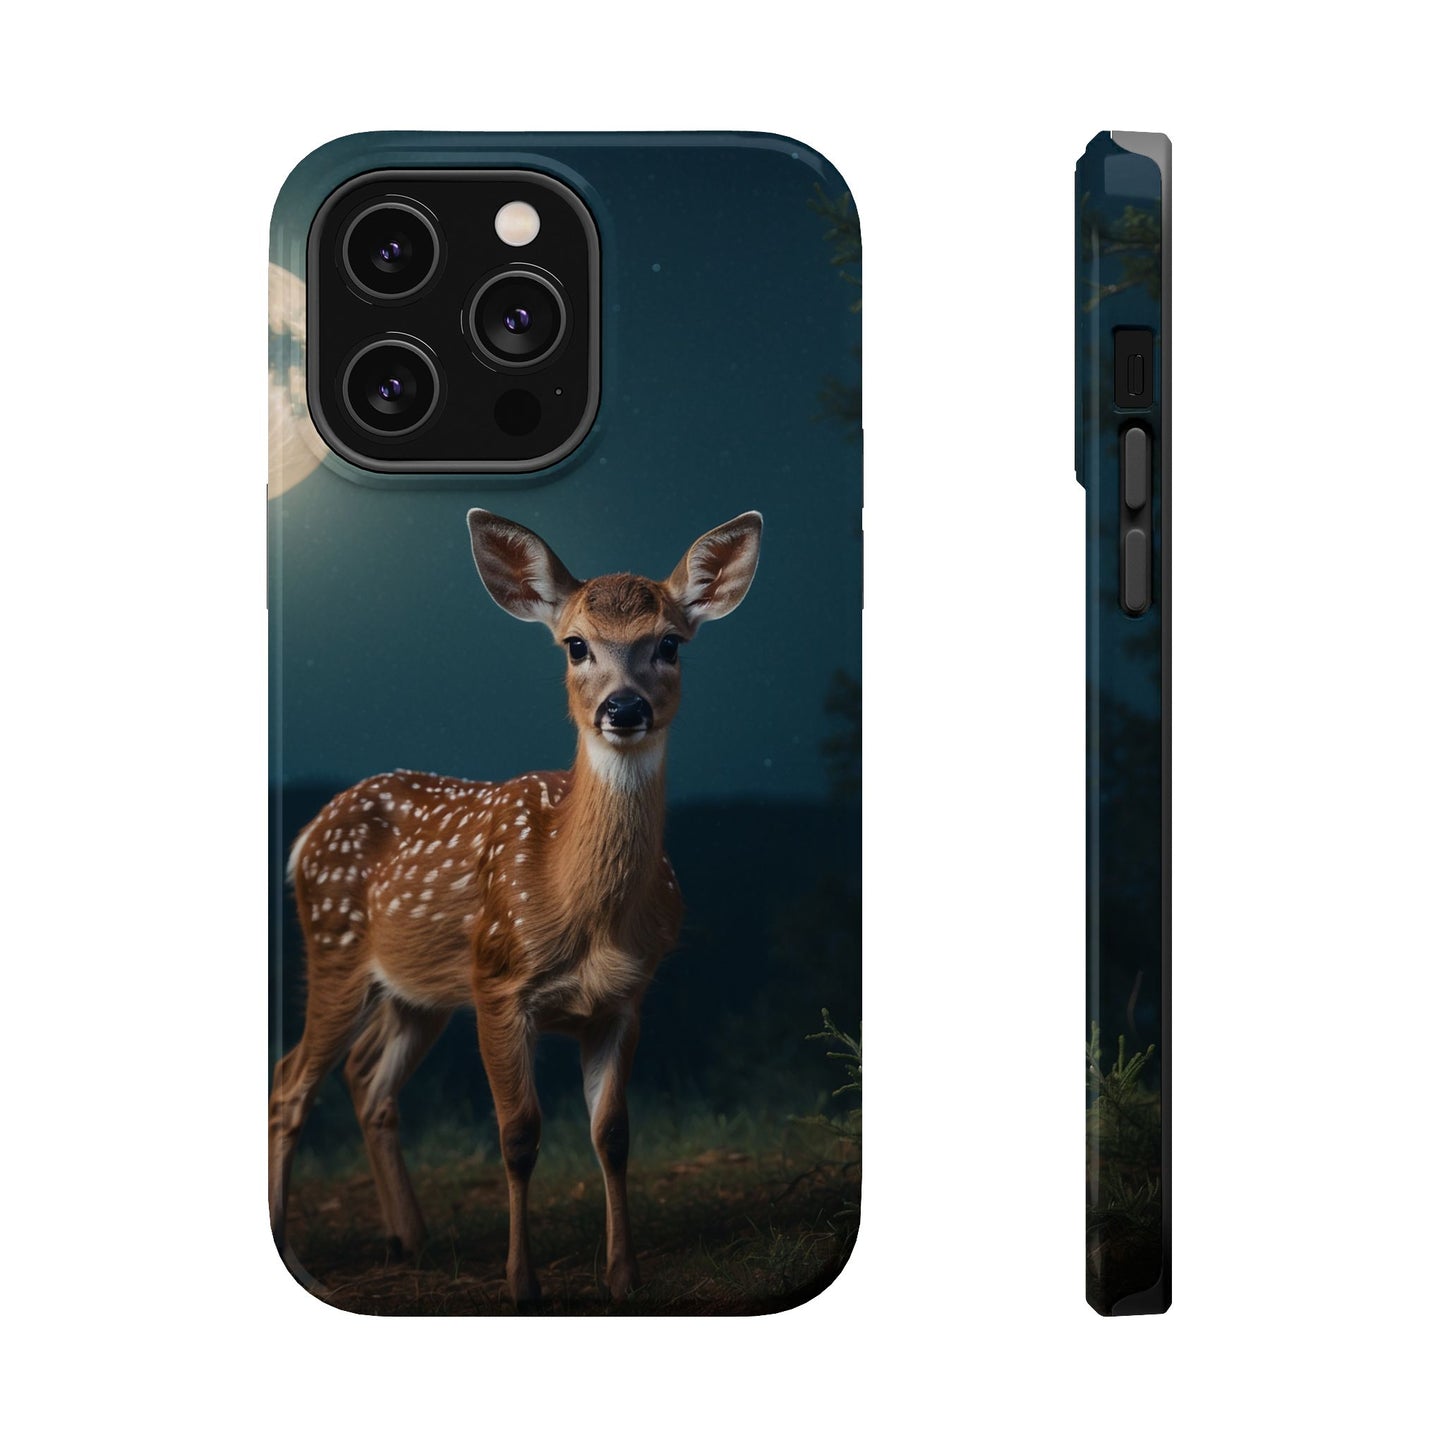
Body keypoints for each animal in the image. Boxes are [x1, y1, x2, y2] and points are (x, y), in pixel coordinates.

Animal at [269, 507, 763, 1306]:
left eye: (669, 643)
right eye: (575, 644)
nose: (623, 708)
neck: (580, 909)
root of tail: (309, 834)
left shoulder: (625, 998)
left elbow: (613, 1134)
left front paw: (623, 1278)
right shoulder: (500, 983)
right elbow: (519, 1134)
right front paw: (521, 1284)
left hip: (420, 991)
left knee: (367, 1080)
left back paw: (410, 1239)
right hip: (337, 947)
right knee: (291, 1082)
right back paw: (296, 1237)